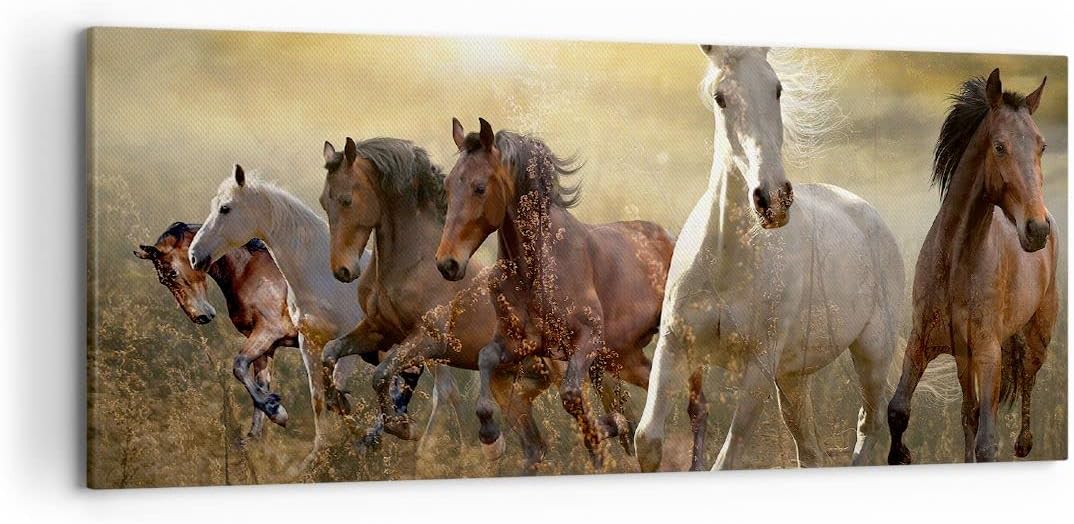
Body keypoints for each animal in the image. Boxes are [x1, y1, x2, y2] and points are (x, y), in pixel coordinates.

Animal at [187, 165, 419, 470]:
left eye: (225, 208)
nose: (194, 256)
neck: (319, 275)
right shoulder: (308, 343)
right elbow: (319, 399)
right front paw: (315, 456)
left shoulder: (345, 347)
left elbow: (336, 390)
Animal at [435, 118, 675, 473]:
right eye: (448, 186)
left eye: (479, 187)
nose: (447, 263)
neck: (535, 269)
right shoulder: (520, 344)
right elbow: (486, 359)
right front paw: (490, 437)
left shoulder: (587, 339)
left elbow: (574, 399)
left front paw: (605, 429)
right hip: (624, 357)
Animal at [634, 46, 905, 471]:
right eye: (720, 97)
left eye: (776, 89)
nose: (773, 199)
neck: (728, 262)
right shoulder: (675, 345)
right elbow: (647, 440)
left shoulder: (759, 366)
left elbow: (728, 458)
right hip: (794, 377)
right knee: (809, 450)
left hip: (873, 352)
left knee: (870, 422)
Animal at [888, 69, 1057, 464]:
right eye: (999, 146)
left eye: (1041, 146)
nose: (1037, 230)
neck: (956, 263)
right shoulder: (922, 343)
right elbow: (898, 410)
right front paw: (900, 456)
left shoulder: (988, 353)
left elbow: (987, 441)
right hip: (964, 361)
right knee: (968, 410)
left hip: (1038, 334)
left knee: (1028, 378)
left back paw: (1024, 444)